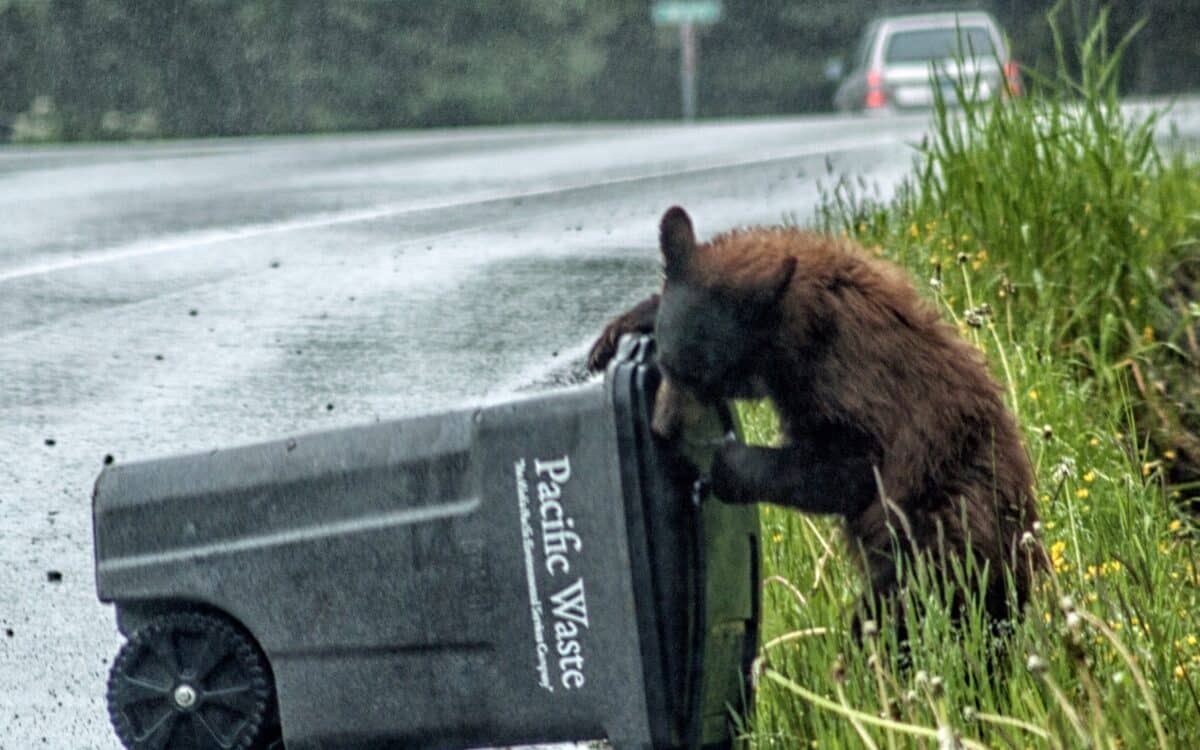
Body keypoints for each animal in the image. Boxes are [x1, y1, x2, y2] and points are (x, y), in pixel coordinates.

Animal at [588, 206, 1041, 643]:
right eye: (666, 364)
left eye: (705, 378)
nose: (662, 427)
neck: (799, 331)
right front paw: (619, 329)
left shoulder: (850, 386)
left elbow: (846, 468)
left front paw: (726, 465)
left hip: (938, 541)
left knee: (899, 614)